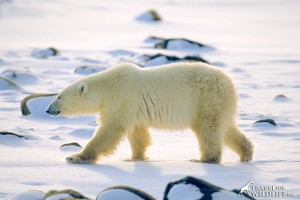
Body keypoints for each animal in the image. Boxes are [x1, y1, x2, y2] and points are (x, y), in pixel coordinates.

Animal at [46, 62, 253, 164]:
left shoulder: (122, 97)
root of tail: (229, 82)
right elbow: (137, 132)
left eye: (59, 96)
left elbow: (111, 129)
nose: (48, 109)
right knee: (226, 128)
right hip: (219, 103)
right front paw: (134, 157)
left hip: (206, 98)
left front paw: (76, 157)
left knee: (208, 129)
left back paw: (203, 159)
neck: (108, 86)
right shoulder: (133, 107)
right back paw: (246, 153)